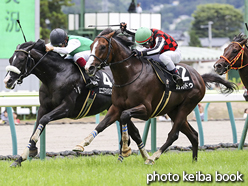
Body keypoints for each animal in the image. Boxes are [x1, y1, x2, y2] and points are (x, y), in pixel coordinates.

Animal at [3, 39, 113, 167]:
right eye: (10, 59)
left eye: (21, 59)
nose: (7, 81)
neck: (56, 75)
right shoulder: (43, 107)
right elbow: (37, 125)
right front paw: (20, 158)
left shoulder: (67, 108)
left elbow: (44, 119)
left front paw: (32, 149)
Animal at [79, 28, 236, 165]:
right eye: (91, 46)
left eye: (103, 47)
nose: (89, 68)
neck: (130, 75)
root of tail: (200, 77)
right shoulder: (116, 107)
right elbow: (102, 124)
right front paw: (81, 144)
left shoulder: (146, 110)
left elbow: (125, 116)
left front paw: (125, 149)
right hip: (174, 110)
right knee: (193, 134)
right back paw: (194, 161)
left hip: (187, 105)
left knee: (173, 135)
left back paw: (153, 157)